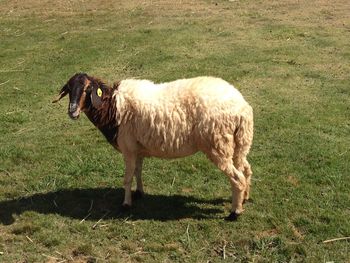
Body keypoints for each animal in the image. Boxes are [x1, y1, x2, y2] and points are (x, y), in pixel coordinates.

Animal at [52, 72, 254, 221]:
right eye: (69, 89)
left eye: (87, 89)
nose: (72, 111)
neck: (112, 107)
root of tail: (242, 108)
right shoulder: (138, 149)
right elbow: (137, 172)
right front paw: (139, 193)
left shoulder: (128, 148)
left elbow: (127, 178)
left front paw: (126, 204)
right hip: (239, 143)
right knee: (245, 169)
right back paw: (244, 198)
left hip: (218, 143)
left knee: (237, 178)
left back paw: (234, 213)